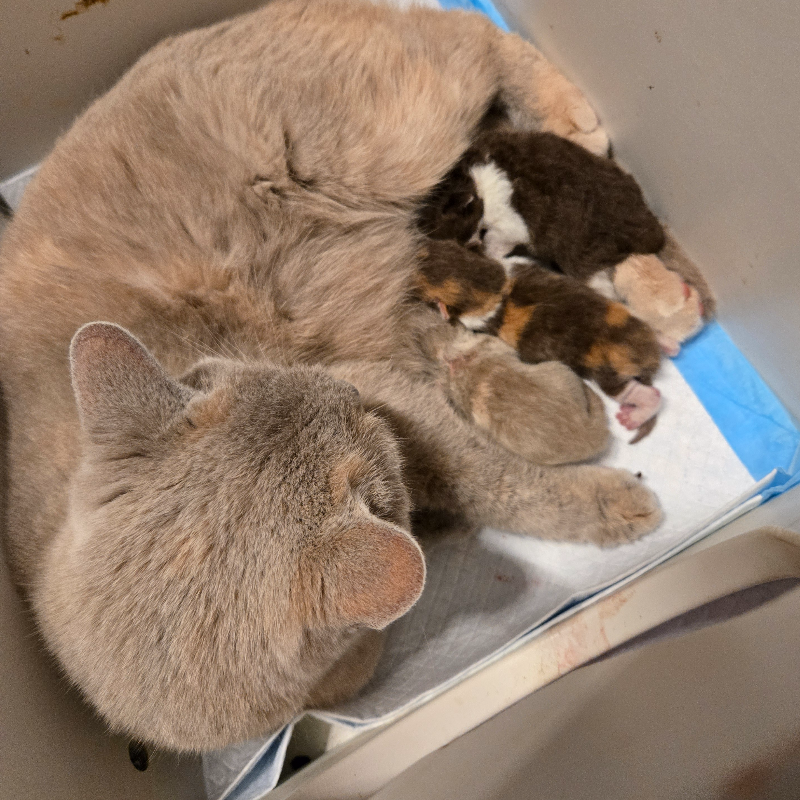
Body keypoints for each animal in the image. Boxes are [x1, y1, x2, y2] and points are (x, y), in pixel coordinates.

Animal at [0, 0, 660, 753]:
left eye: (215, 374)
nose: (346, 393)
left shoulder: (405, 403)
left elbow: (508, 485)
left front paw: (611, 504)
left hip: (406, 122)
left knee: (473, 36)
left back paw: (568, 112)